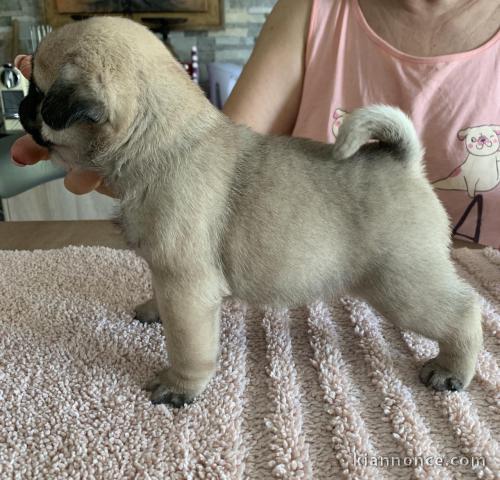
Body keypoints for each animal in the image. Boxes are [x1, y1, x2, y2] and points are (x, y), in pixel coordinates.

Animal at [17, 16, 482, 404]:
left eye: (38, 92)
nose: (19, 106)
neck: (163, 141)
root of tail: (405, 161)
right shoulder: (167, 271)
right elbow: (160, 296)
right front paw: (153, 309)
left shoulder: (187, 287)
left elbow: (187, 344)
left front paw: (180, 386)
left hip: (401, 283)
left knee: (462, 313)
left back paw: (450, 370)